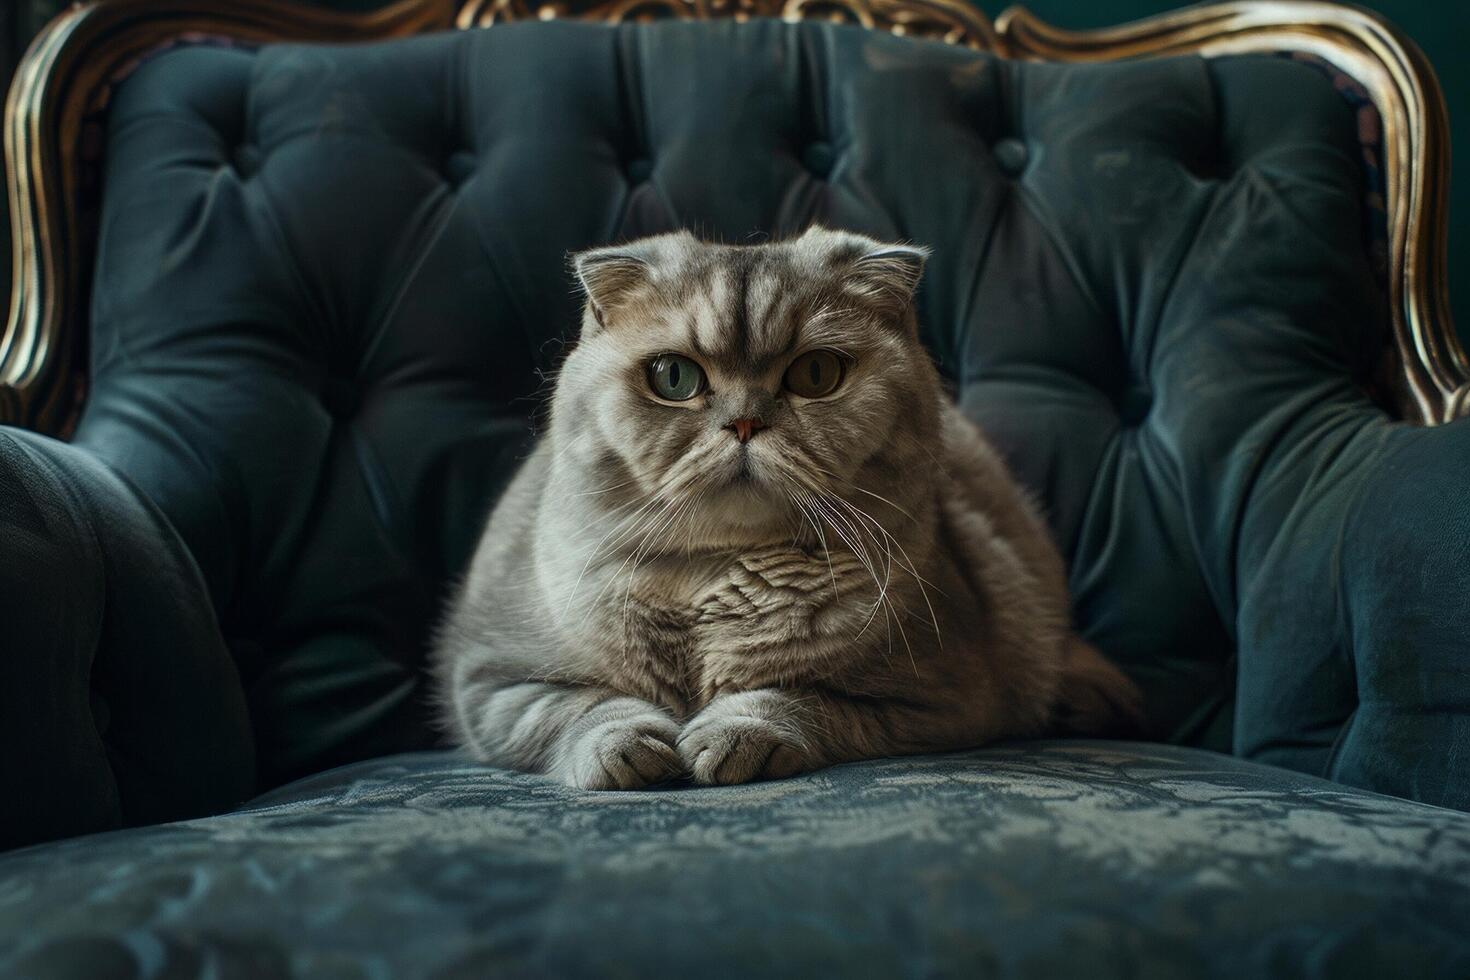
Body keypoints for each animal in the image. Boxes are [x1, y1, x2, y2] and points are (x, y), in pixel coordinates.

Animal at [429, 227, 1140, 787]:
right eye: (673, 378)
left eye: (816, 375)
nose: (745, 423)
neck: (714, 583)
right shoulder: (493, 682)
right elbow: (585, 708)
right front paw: (629, 747)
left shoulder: (946, 699)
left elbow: (799, 699)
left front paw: (735, 732)